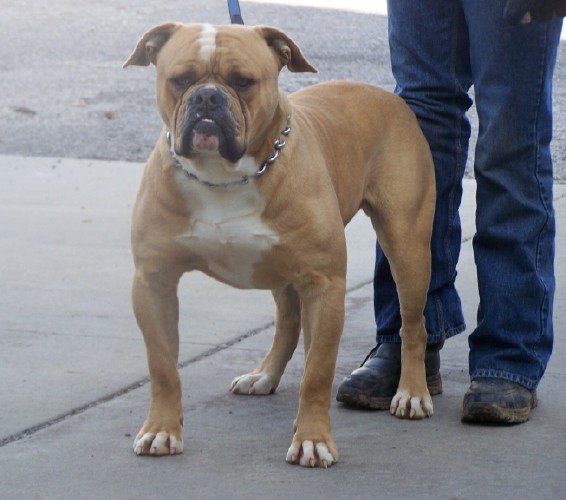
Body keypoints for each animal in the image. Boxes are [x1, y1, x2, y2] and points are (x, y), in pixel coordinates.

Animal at [123, 22, 434, 468]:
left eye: (243, 81)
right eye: (180, 79)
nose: (207, 96)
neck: (223, 176)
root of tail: (389, 97)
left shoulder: (325, 284)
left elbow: (318, 372)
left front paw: (313, 439)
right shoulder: (153, 281)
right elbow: (163, 366)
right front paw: (162, 430)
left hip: (407, 247)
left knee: (413, 324)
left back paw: (411, 393)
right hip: (278, 268)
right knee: (288, 320)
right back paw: (265, 375)